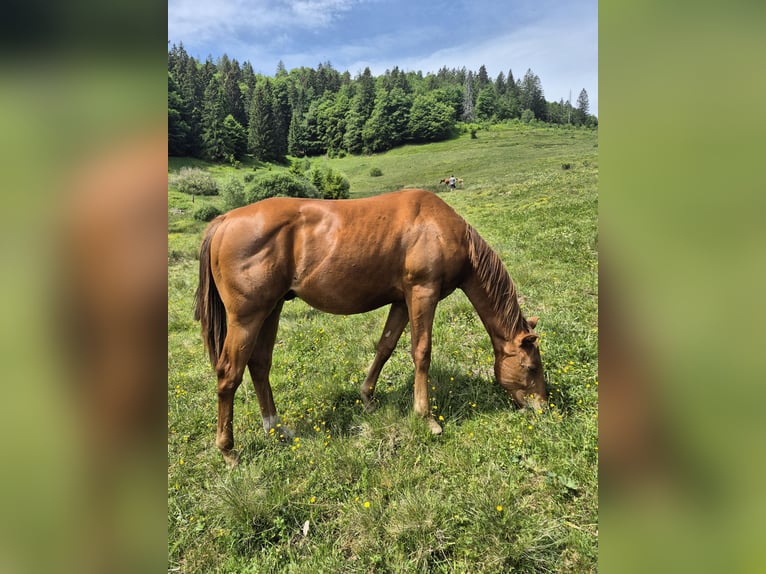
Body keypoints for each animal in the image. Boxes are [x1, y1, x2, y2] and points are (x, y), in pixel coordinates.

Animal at [195, 188, 546, 467]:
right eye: (530, 368)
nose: (544, 407)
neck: (440, 228)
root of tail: (224, 220)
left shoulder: (402, 300)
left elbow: (386, 346)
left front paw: (368, 397)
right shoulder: (422, 293)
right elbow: (422, 352)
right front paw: (426, 418)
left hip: (272, 309)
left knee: (259, 365)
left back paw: (276, 428)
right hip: (247, 318)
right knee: (229, 374)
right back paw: (228, 450)